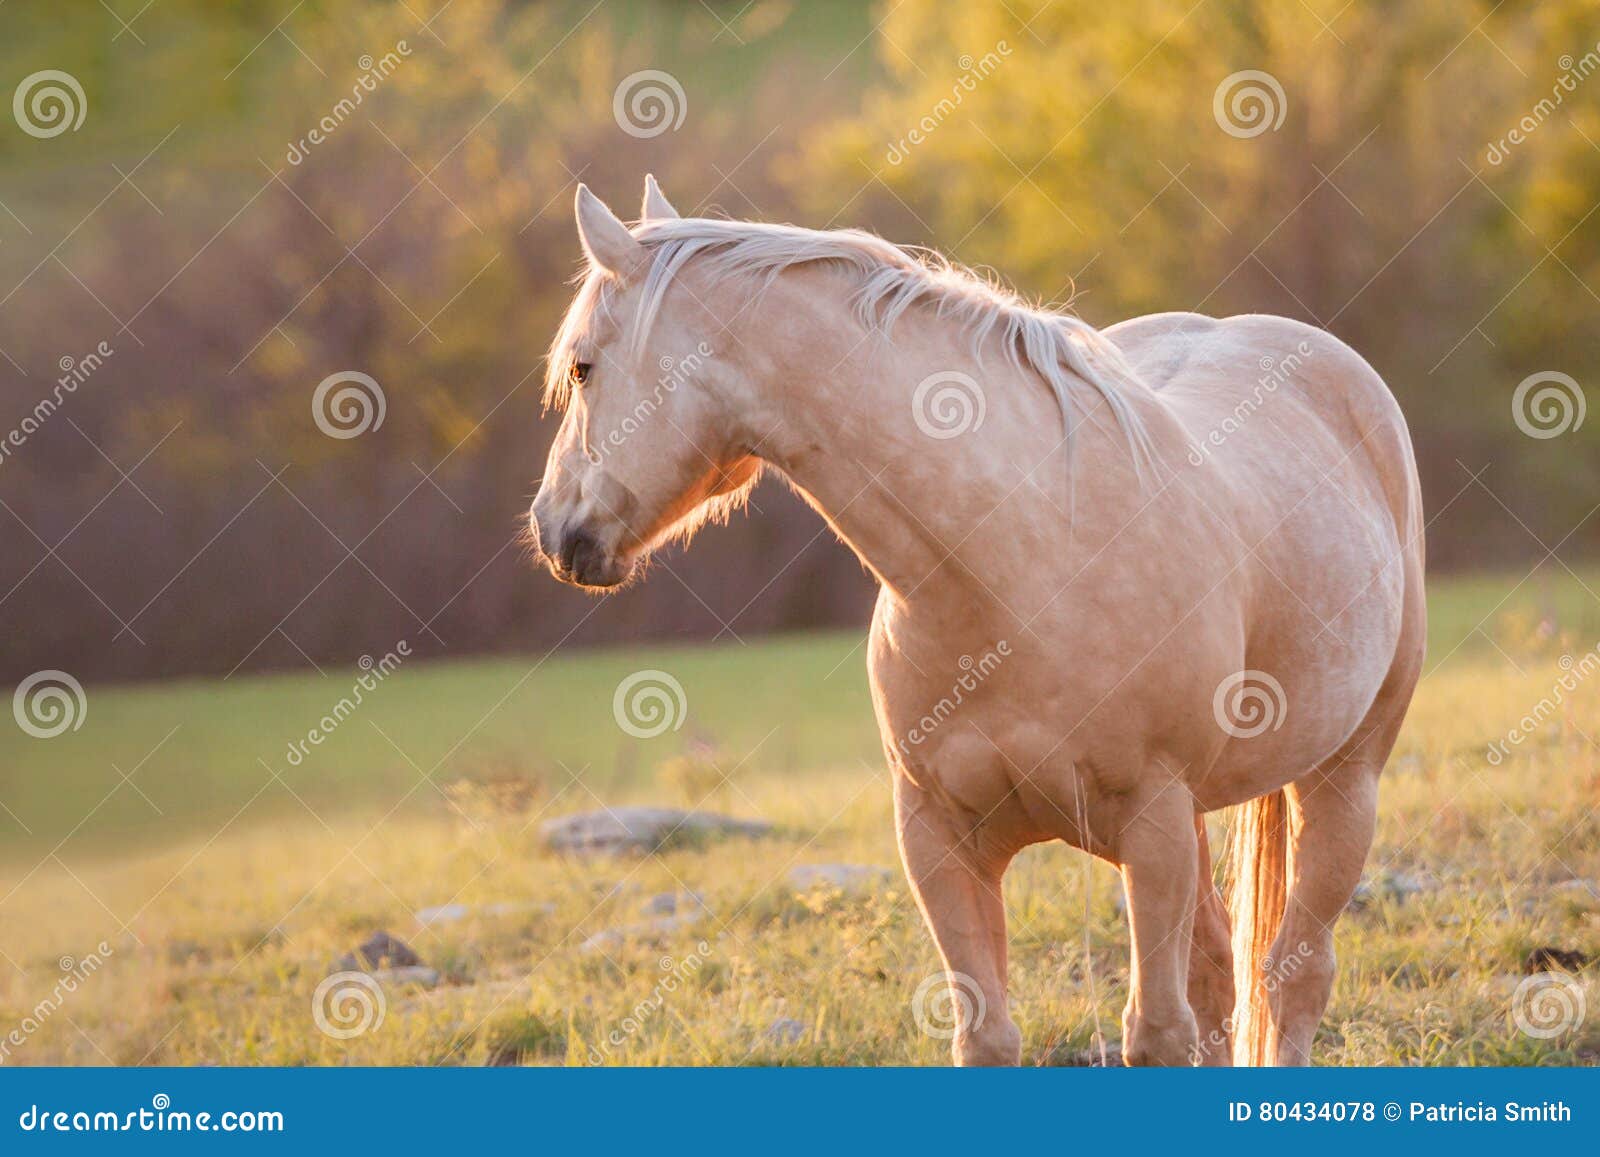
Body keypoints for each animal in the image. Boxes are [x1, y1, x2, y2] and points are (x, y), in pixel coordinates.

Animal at [529, 176, 1425, 1067]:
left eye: (583, 366)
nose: (554, 530)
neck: (1013, 567)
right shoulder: (937, 836)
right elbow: (988, 1034)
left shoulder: (1154, 821)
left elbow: (1158, 1035)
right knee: (1217, 970)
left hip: (1343, 779)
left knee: (1291, 974)